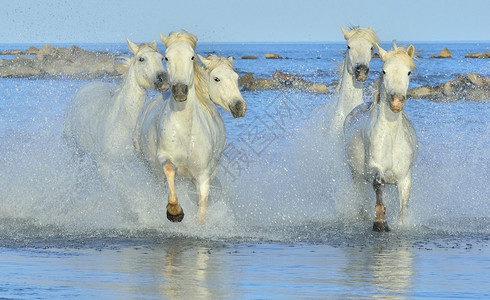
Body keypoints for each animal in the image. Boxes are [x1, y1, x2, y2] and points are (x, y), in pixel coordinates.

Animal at [133, 30, 245, 224]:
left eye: (191, 57)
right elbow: (170, 169)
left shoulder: (204, 174)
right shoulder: (164, 158)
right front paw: (174, 211)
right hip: (152, 169)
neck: (186, 131)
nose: (239, 107)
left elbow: (201, 211)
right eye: (166, 58)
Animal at [344, 41, 418, 232]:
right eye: (384, 71)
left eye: (408, 72)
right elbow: (378, 185)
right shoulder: (375, 168)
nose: (397, 101)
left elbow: (403, 207)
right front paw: (380, 223)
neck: (391, 137)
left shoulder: (405, 179)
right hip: (356, 175)